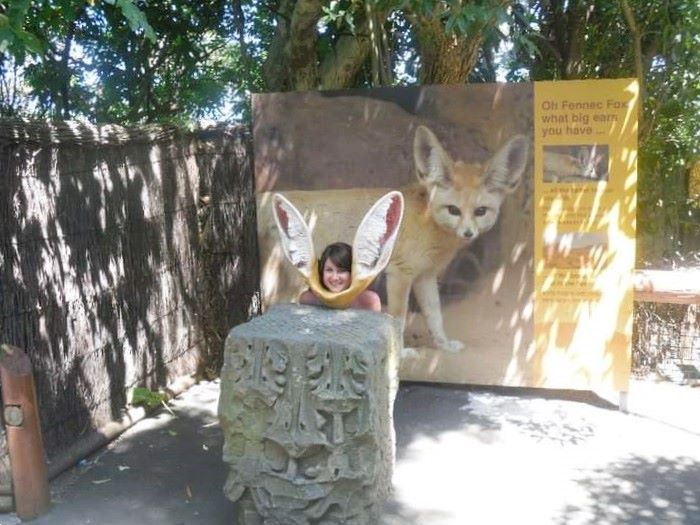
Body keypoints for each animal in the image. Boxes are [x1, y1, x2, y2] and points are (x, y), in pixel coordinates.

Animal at [258, 125, 532, 350]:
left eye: (480, 212)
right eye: (453, 210)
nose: (468, 233)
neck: (427, 223)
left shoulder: (425, 277)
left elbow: (435, 315)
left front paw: (443, 345)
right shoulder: (400, 274)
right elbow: (398, 320)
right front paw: (400, 354)